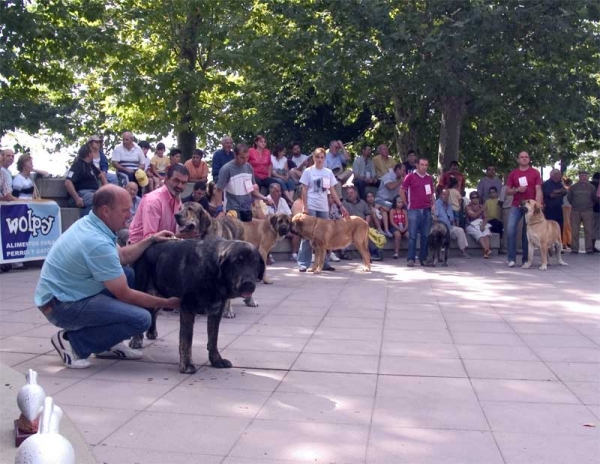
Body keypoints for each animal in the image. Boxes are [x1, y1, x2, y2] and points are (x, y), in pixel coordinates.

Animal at [132, 236, 264, 374]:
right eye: (237, 262)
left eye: (254, 262)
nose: (248, 283)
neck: (212, 273)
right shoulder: (187, 308)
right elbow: (187, 340)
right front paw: (187, 364)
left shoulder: (216, 311)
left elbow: (213, 339)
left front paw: (216, 360)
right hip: (141, 291)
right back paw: (136, 339)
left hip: (160, 295)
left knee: (154, 311)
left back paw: (151, 331)